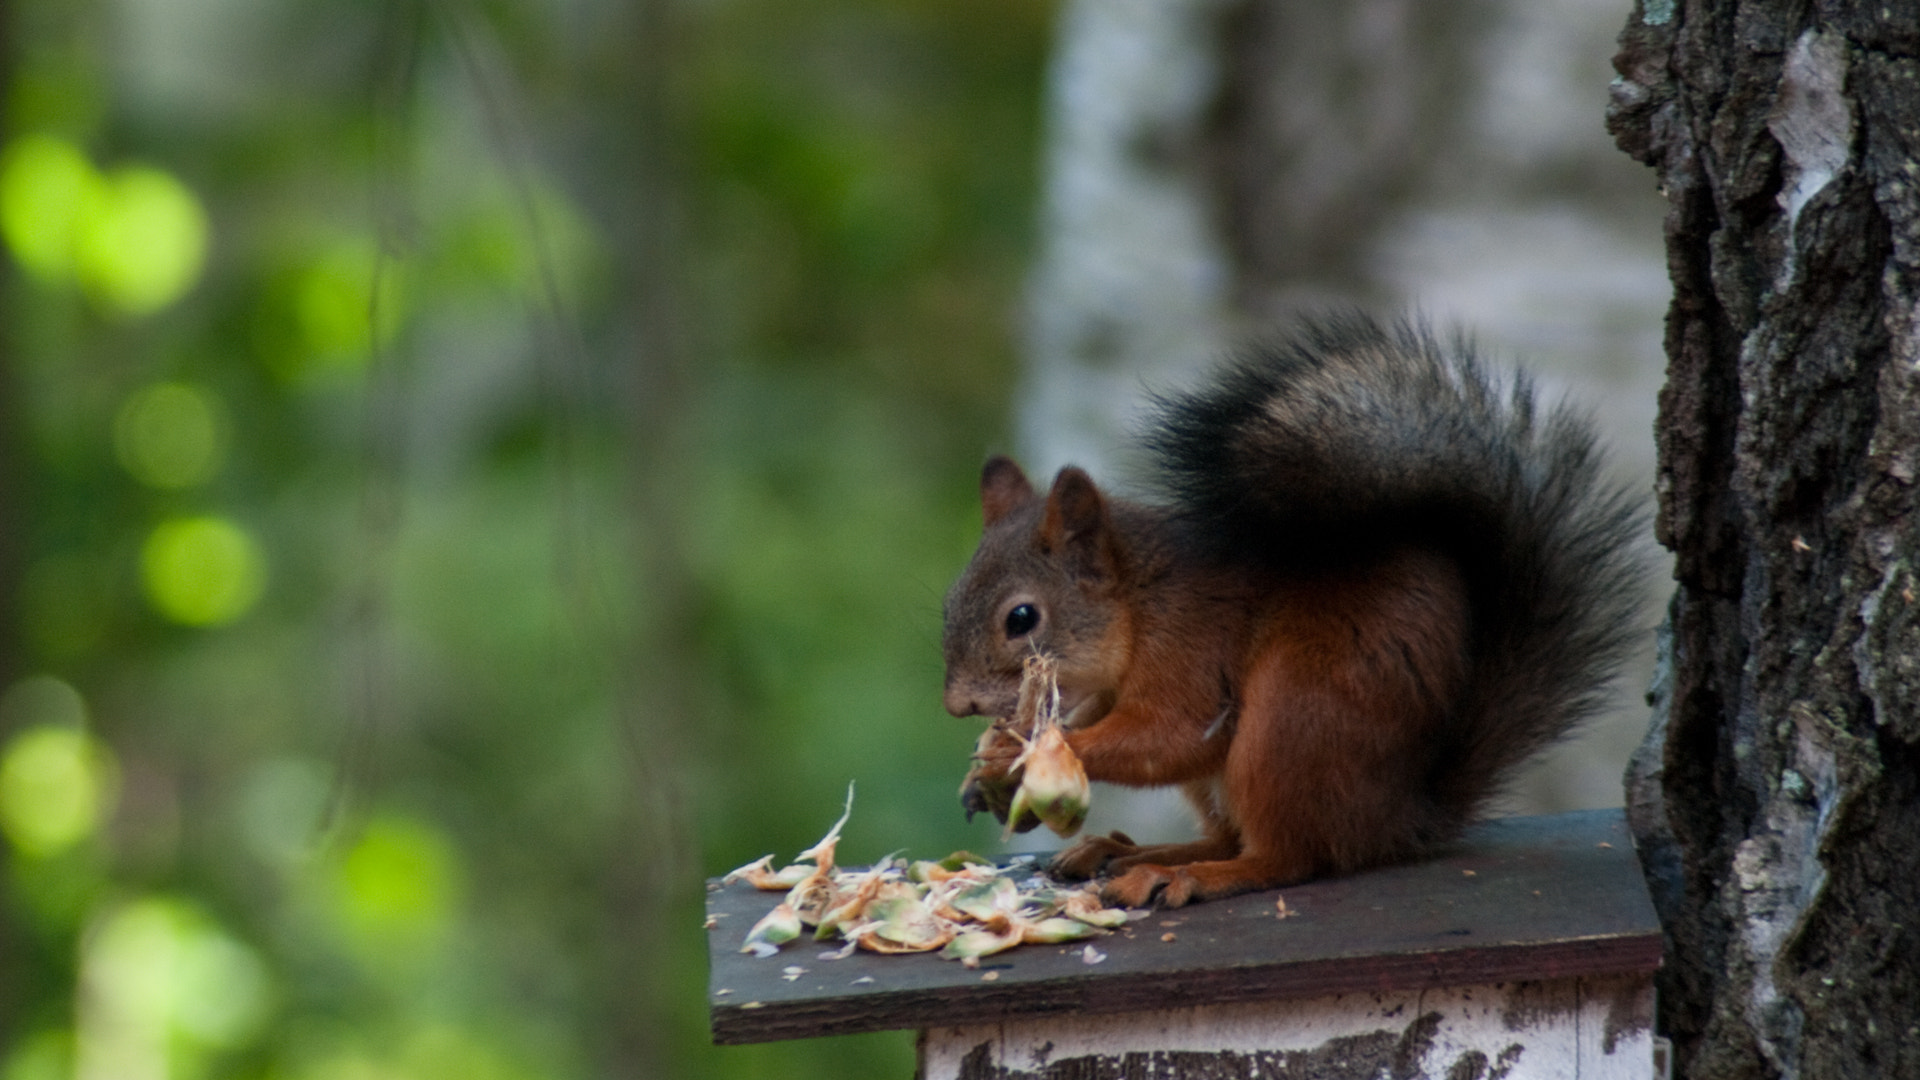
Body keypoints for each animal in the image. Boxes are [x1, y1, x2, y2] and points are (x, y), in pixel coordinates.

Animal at [936, 315, 1643, 903]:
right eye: (949, 601)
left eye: (1021, 619)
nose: (957, 705)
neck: (1138, 604)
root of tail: (1398, 818)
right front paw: (987, 768)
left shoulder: (1190, 649)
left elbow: (1166, 737)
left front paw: (1016, 757)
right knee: (1231, 836)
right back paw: (1126, 852)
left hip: (1292, 721)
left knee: (1288, 857)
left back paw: (1183, 875)